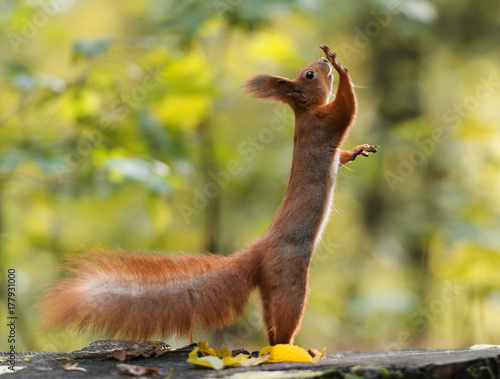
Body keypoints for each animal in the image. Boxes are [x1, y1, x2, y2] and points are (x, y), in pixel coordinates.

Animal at [40, 45, 376, 348]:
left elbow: (341, 153)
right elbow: (348, 106)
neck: (305, 112)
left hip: (270, 290)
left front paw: (357, 151)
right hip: (289, 282)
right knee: (284, 323)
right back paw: (292, 349)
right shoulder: (326, 121)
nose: (322, 62)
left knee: (270, 324)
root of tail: (257, 252)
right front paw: (341, 67)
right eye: (309, 75)